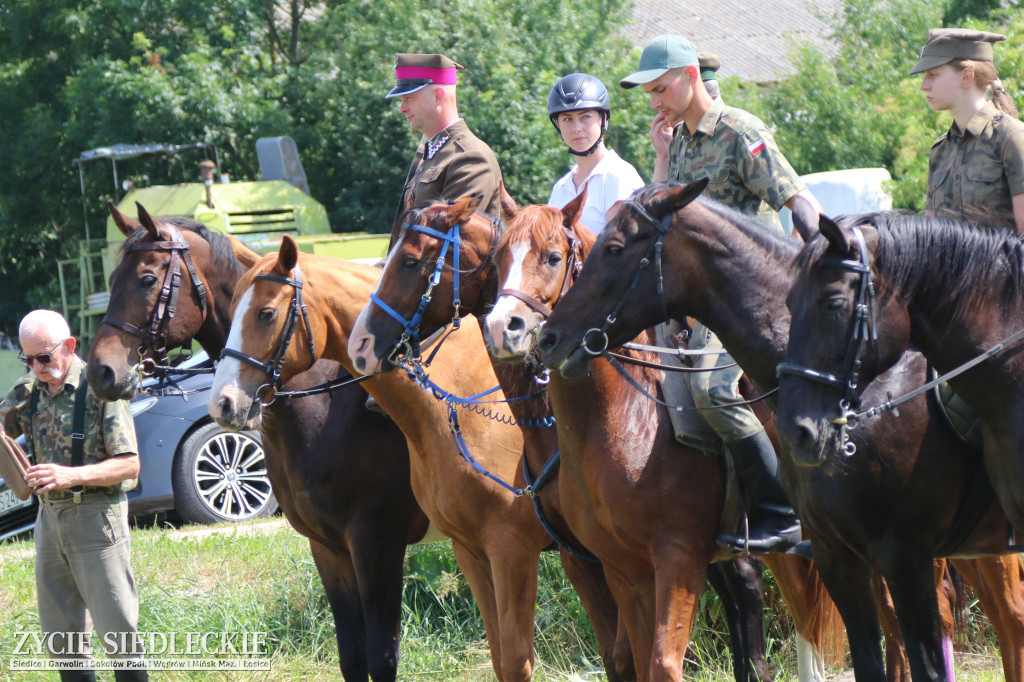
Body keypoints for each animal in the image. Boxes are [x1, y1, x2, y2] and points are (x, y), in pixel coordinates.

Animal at [83, 204, 428, 675]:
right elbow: (353, 655)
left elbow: (382, 654)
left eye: (147, 279)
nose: (100, 372)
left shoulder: (377, 543)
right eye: (113, 278)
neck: (326, 401)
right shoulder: (328, 548)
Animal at [348, 192, 843, 679]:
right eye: (502, 258)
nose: (361, 344)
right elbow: (619, 657)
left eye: (410, 260)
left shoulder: (659, 554)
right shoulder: (586, 557)